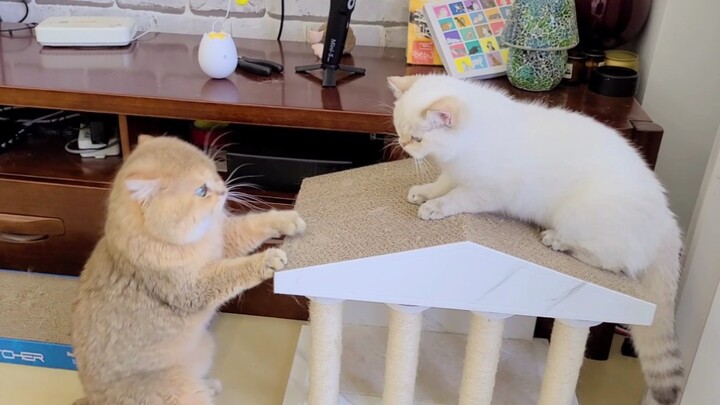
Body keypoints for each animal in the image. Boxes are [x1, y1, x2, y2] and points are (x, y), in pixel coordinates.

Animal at [73, 135, 306, 404]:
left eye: (215, 170)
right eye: (201, 191)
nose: (224, 190)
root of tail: (91, 399)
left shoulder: (225, 239)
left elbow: (254, 223)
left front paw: (287, 219)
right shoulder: (195, 289)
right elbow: (234, 271)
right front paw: (268, 259)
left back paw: (210, 385)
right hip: (183, 391)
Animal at [388, 73, 688, 404]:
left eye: (418, 139)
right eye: (399, 129)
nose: (402, 144)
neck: (473, 139)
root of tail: (667, 219)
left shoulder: (484, 191)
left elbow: (455, 199)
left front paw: (434, 207)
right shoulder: (456, 174)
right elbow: (441, 184)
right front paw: (424, 192)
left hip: (578, 216)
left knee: (613, 262)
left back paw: (557, 240)